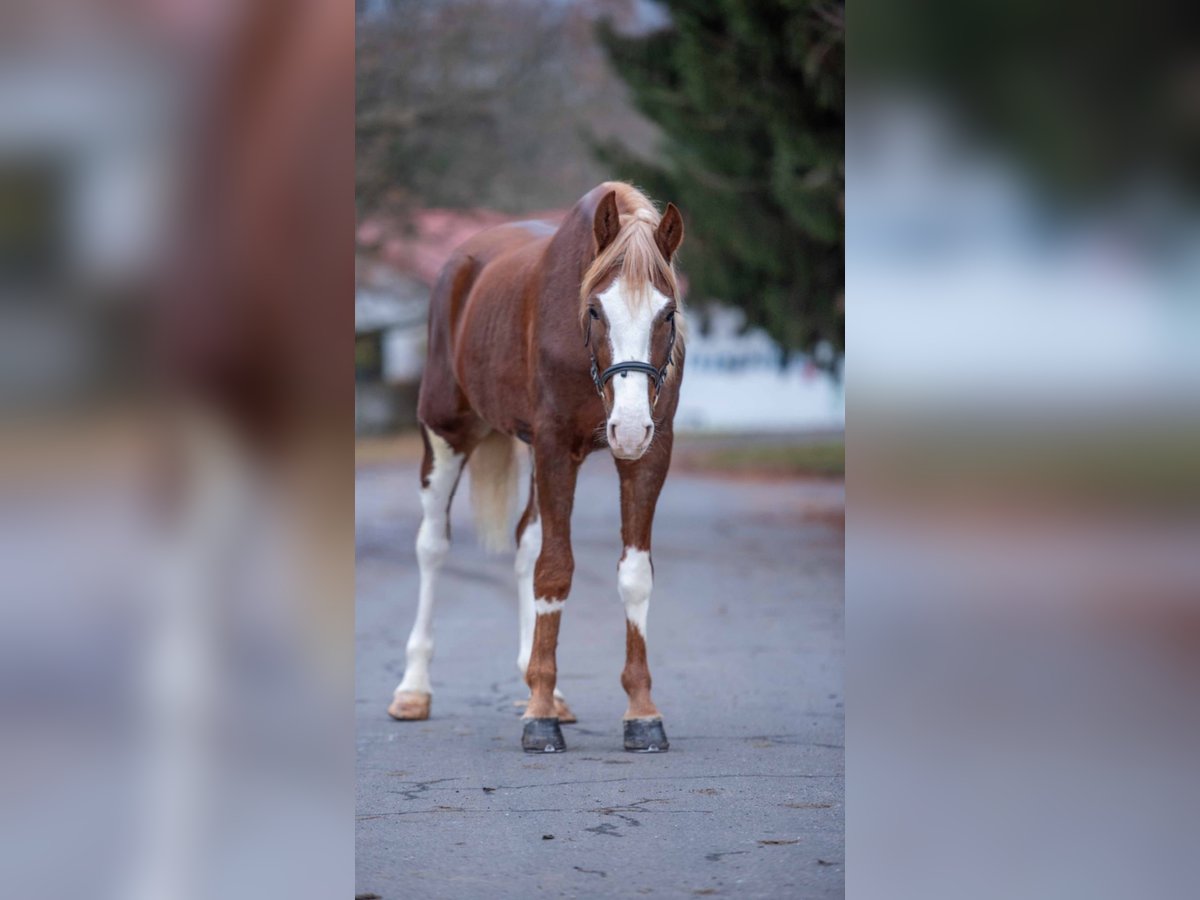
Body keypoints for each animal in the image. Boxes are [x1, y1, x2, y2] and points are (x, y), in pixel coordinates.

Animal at [388, 182, 686, 753]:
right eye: (594, 310)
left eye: (667, 314)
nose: (627, 427)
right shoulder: (554, 447)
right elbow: (555, 570)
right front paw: (540, 717)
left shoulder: (650, 452)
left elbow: (633, 575)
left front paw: (641, 713)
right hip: (445, 433)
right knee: (432, 546)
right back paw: (414, 690)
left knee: (525, 541)